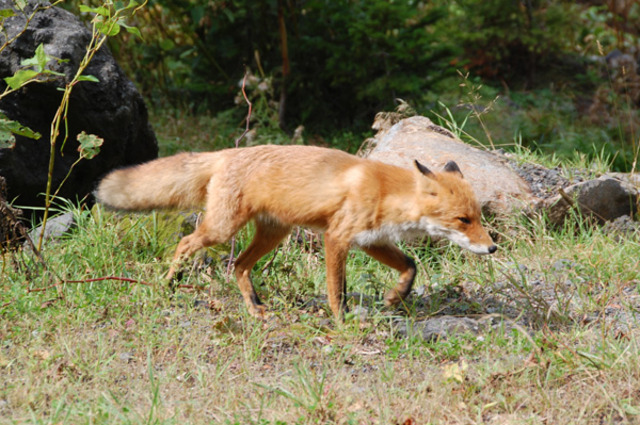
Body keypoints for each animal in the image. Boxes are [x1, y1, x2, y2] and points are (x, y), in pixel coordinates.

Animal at [95, 145, 498, 318]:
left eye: (478, 217)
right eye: (464, 220)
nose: (493, 248)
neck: (386, 193)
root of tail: (226, 152)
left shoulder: (372, 241)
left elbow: (411, 267)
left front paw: (394, 299)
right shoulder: (337, 238)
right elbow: (337, 291)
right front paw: (341, 321)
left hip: (272, 235)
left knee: (239, 266)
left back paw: (254, 307)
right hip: (222, 230)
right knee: (184, 242)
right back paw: (170, 282)